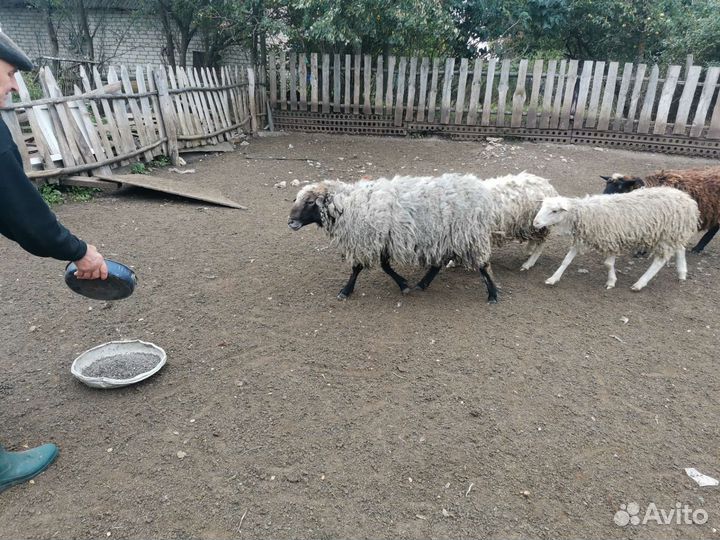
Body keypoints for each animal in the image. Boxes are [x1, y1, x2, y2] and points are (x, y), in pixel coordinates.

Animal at [287, 173, 501, 302]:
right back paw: (422, 284)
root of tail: (481, 192)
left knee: (482, 264)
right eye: (296, 199)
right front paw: (403, 284)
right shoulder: (381, 240)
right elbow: (384, 266)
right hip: (446, 237)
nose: (290, 222)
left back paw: (492, 294)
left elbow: (358, 268)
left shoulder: (366, 240)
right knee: (438, 263)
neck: (347, 205)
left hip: (468, 235)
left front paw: (345, 291)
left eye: (310, 202)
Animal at [532, 187, 700, 290]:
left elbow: (608, 264)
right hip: (674, 233)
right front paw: (554, 278)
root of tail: (688, 200)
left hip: (667, 233)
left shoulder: (611, 239)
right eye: (542, 207)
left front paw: (611, 282)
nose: (535, 223)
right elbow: (566, 260)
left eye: (554, 211)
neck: (586, 213)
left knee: (660, 260)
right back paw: (682, 273)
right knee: (680, 249)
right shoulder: (583, 237)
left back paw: (640, 283)